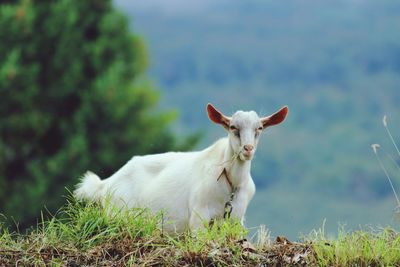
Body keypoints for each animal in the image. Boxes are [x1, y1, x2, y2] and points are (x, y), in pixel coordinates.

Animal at [74, 103, 288, 233]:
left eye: (259, 128)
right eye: (233, 127)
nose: (248, 148)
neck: (232, 183)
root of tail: (105, 184)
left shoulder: (235, 219)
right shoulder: (199, 216)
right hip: (119, 213)